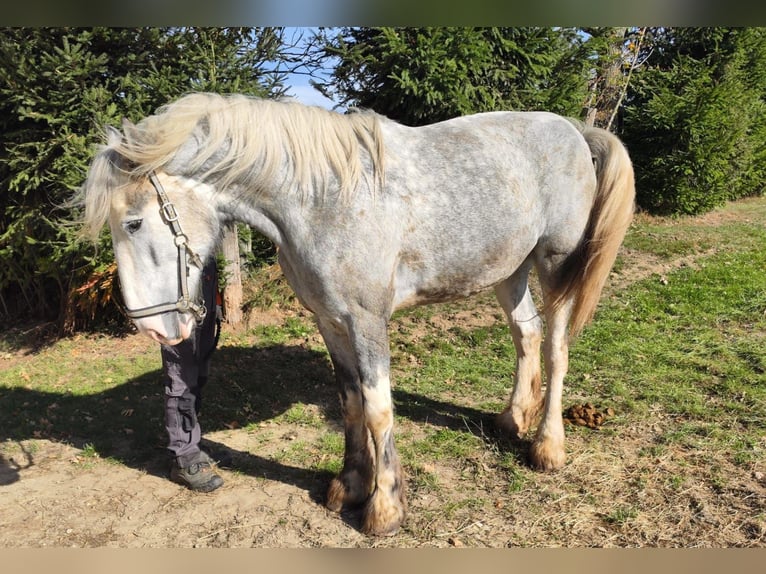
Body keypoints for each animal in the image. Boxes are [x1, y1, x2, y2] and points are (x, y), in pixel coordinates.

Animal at [80, 92, 634, 536]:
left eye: (133, 222)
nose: (153, 328)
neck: (320, 200)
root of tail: (574, 131)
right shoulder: (330, 320)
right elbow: (349, 402)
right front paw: (348, 486)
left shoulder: (368, 321)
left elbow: (378, 407)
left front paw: (384, 509)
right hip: (508, 270)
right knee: (526, 334)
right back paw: (512, 419)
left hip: (555, 265)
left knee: (555, 347)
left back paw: (548, 448)